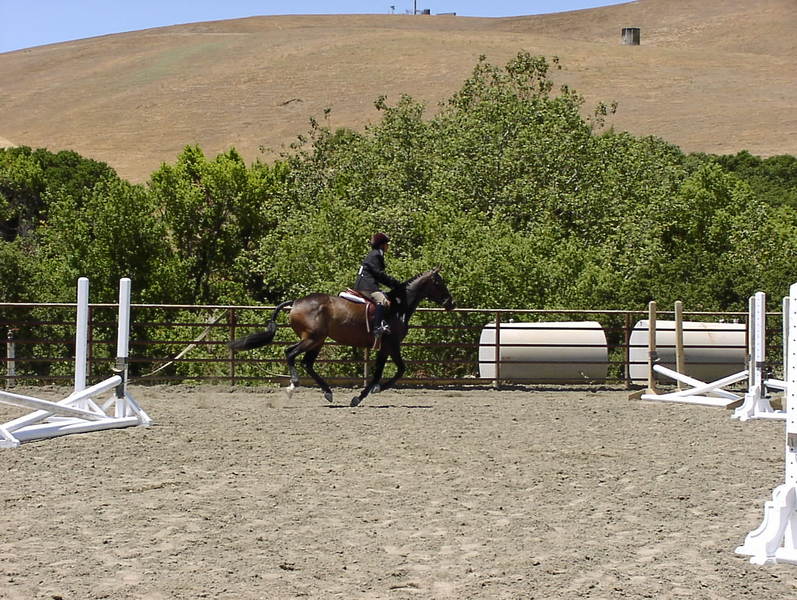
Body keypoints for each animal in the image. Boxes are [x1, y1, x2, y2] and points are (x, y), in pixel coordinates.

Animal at [229, 268, 455, 406]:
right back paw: (293, 386)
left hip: (318, 341)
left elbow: (386, 372)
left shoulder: (386, 347)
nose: (451, 303)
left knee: (307, 363)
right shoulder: (390, 345)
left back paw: (328, 392)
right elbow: (394, 371)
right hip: (312, 338)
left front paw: (365, 393)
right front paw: (369, 393)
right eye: (439, 282)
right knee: (290, 353)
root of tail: (296, 302)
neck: (398, 306)